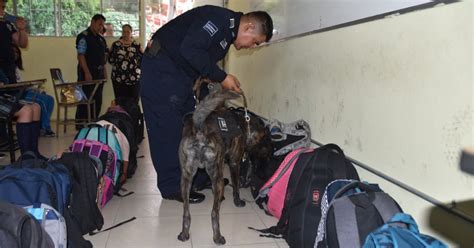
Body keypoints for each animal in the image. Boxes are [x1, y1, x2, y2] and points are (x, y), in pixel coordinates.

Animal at [177, 88, 270, 244]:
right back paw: (218, 237)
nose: (271, 150)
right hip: (217, 177)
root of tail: (200, 130)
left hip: (186, 179)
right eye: (265, 139)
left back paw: (184, 234)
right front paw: (237, 201)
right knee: (214, 213)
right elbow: (236, 186)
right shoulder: (234, 162)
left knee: (186, 212)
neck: (243, 123)